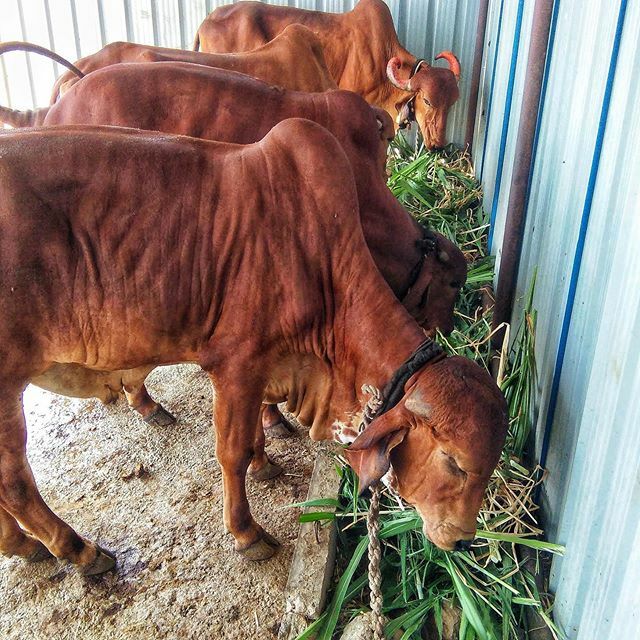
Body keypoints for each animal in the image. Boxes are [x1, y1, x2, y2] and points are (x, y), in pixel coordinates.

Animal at [0, 121, 507, 574]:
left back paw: (26, 546)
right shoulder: (237, 364)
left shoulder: (267, 366)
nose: (464, 540)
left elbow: (256, 431)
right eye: (455, 463)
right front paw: (247, 533)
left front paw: (266, 462)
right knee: (16, 483)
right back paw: (77, 550)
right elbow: (232, 451)